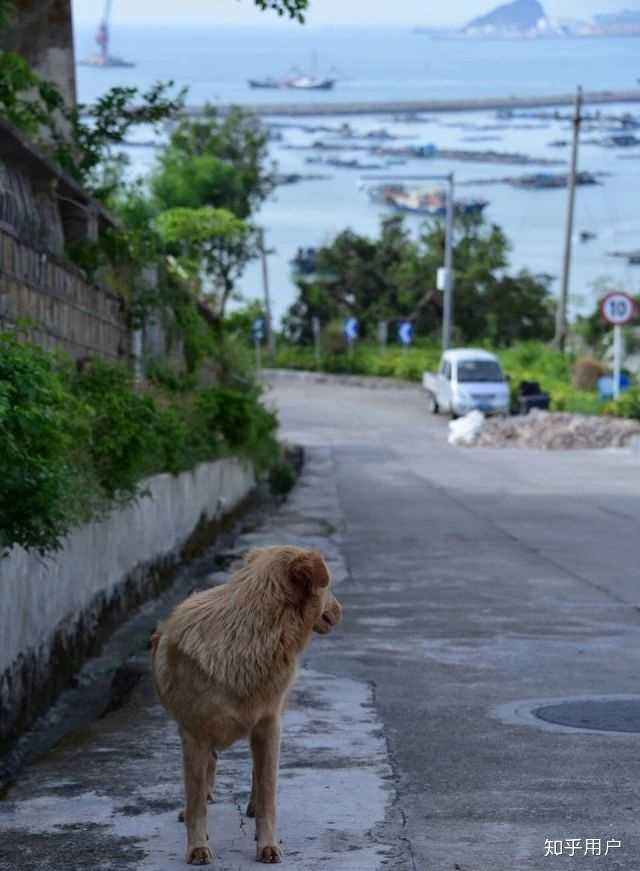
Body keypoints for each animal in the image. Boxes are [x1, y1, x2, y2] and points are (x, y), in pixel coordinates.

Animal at [151, 544, 342, 864]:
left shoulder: (269, 726)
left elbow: (267, 794)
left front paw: (267, 843)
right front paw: (197, 845)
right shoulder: (193, 735)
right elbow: (196, 801)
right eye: (328, 586)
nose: (342, 611)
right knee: (206, 775)